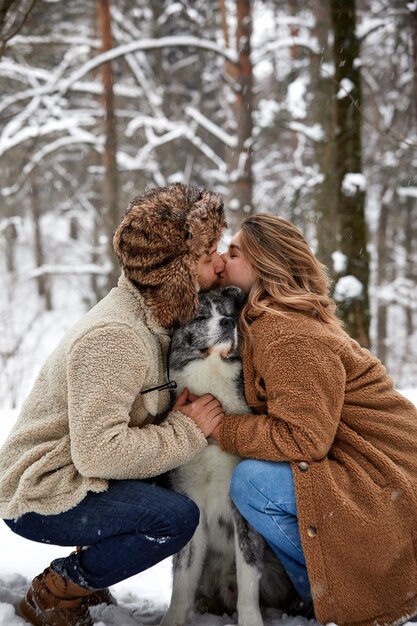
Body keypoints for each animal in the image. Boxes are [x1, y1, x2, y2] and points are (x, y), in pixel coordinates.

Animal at [160, 286, 296, 624]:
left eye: (228, 313)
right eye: (199, 316)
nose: (227, 323)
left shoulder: (241, 517)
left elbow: (248, 576)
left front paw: (250, 620)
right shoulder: (192, 505)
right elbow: (182, 579)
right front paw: (173, 619)